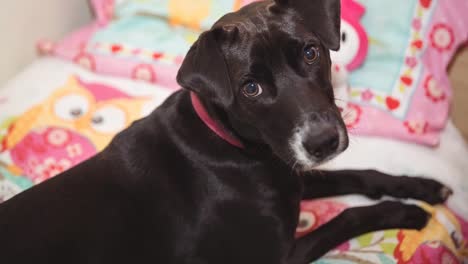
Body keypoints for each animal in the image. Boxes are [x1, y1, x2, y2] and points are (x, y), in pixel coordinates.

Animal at [0, 1, 454, 262]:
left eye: (311, 52)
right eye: (251, 88)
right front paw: (405, 213)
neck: (231, 143)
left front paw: (423, 187)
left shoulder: (291, 174)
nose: (323, 141)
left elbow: (359, 174)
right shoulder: (275, 255)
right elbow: (346, 216)